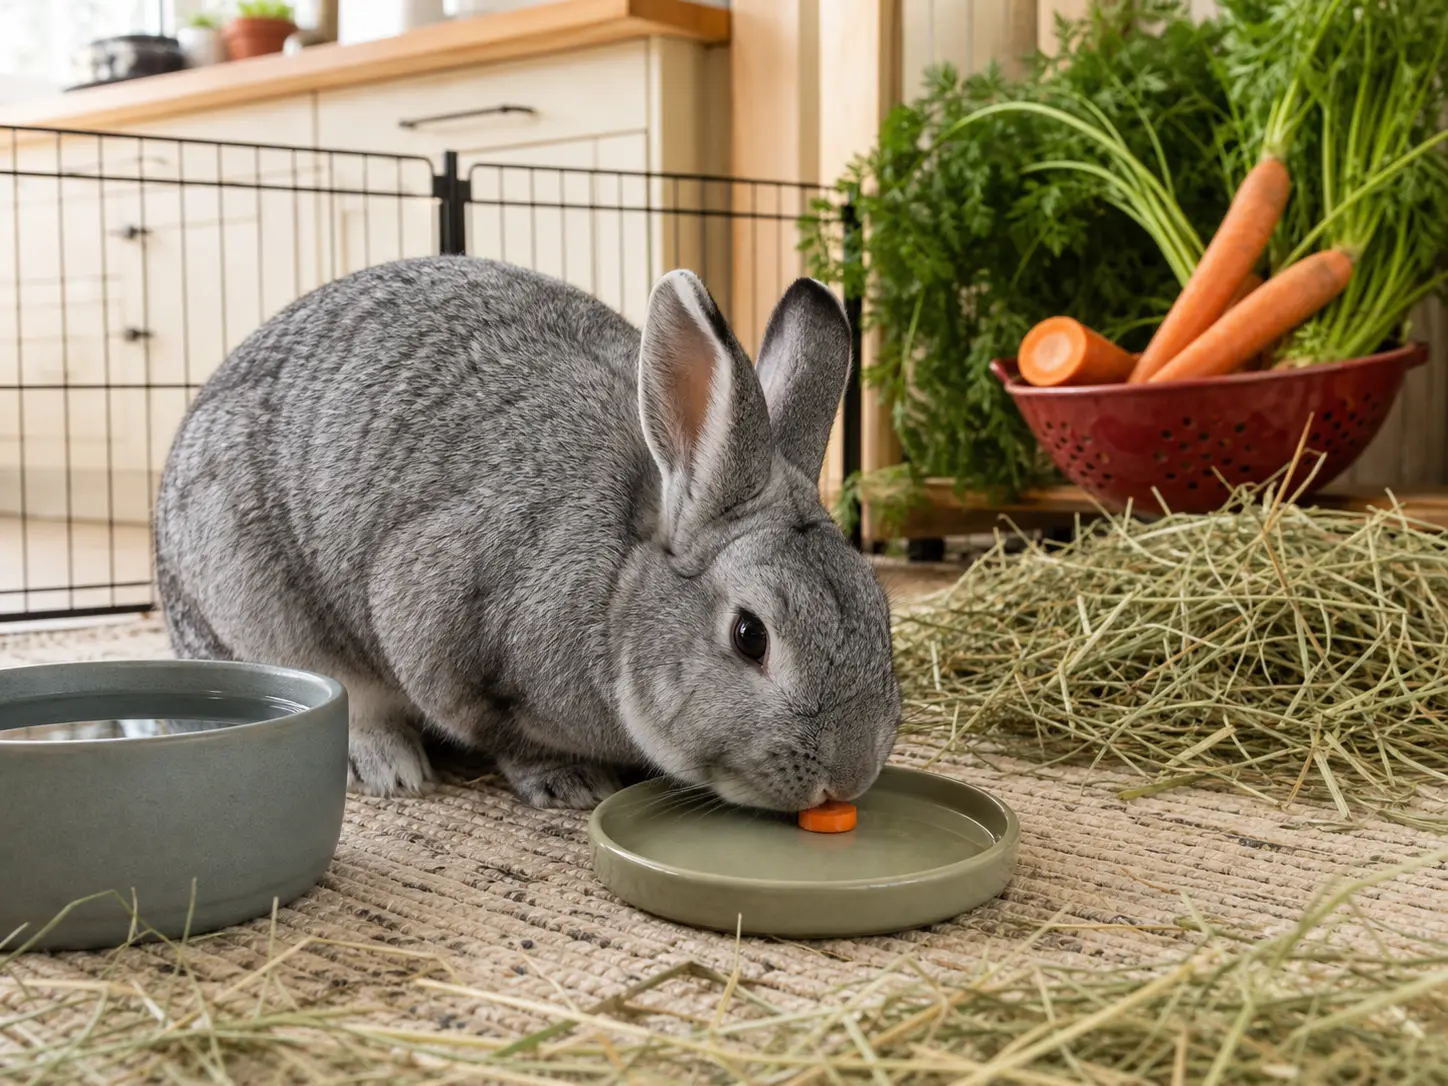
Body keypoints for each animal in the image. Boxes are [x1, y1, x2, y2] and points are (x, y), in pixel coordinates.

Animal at [153, 256, 902, 810]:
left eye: (881, 609)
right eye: (751, 637)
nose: (849, 776)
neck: (617, 586)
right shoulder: (442, 631)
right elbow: (507, 736)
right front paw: (569, 783)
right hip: (264, 613)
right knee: (350, 701)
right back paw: (392, 766)